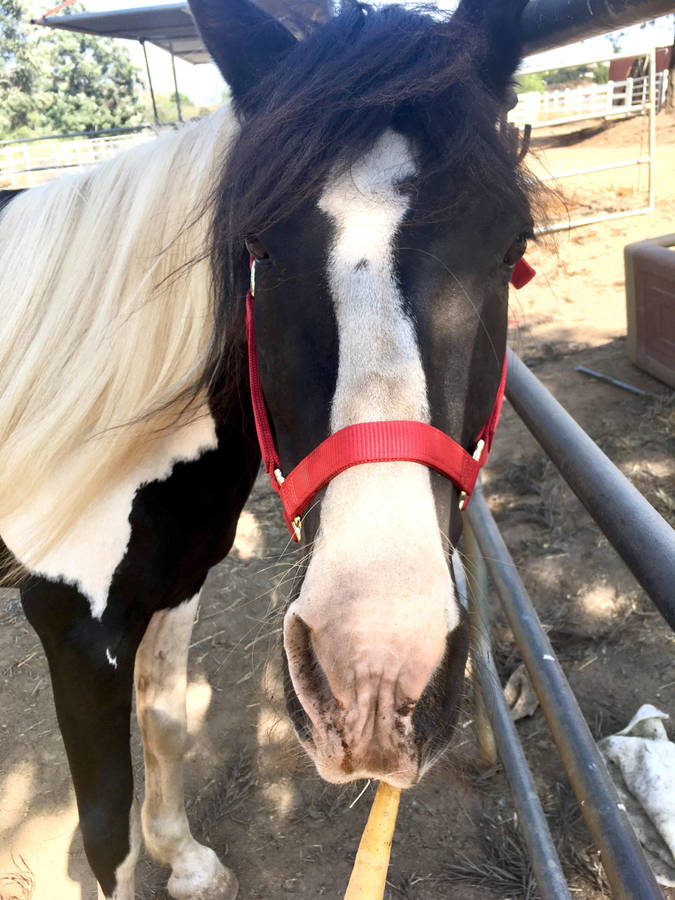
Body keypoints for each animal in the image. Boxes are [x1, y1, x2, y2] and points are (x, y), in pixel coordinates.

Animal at [0, 0, 535, 896]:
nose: (371, 678)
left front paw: (184, 858)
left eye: (511, 246)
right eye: (257, 249)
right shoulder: (73, 630)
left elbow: (167, 722)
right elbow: (105, 834)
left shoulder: (177, 576)